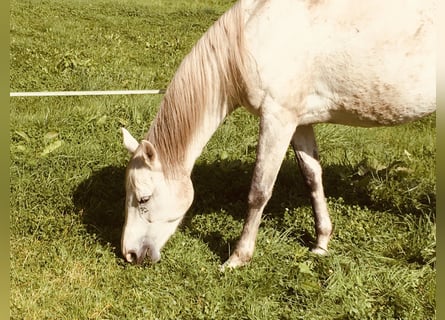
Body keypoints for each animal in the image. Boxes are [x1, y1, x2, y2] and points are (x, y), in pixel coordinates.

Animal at [119, 0, 436, 268]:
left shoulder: (277, 119)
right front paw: (321, 243)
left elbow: (259, 191)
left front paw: (238, 258)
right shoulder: (299, 122)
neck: (255, 36)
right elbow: (312, 178)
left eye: (143, 198)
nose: (129, 253)